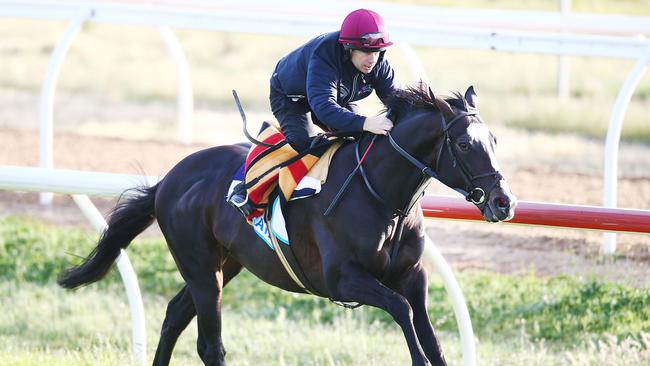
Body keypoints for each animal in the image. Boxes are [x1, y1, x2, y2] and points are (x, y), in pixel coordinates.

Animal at [58, 85, 512, 366]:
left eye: (494, 141)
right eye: (465, 144)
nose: (504, 202)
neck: (381, 195)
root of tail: (167, 181)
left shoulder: (413, 275)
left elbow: (430, 336)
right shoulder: (343, 280)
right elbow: (400, 310)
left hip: (225, 264)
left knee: (174, 315)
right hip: (201, 268)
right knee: (209, 344)